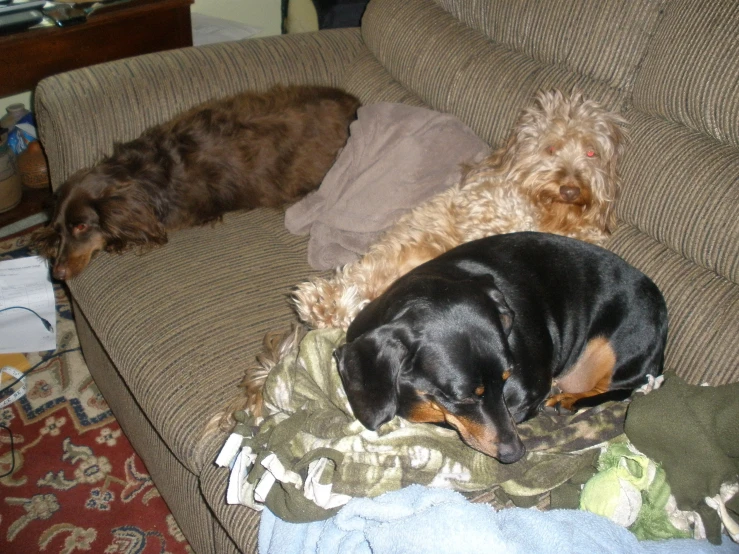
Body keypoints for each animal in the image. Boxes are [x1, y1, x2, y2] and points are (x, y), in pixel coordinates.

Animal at [292, 91, 628, 330]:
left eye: (591, 152)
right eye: (551, 149)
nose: (570, 189)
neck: (552, 215)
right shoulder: (482, 207)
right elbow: (507, 215)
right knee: (352, 284)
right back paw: (320, 302)